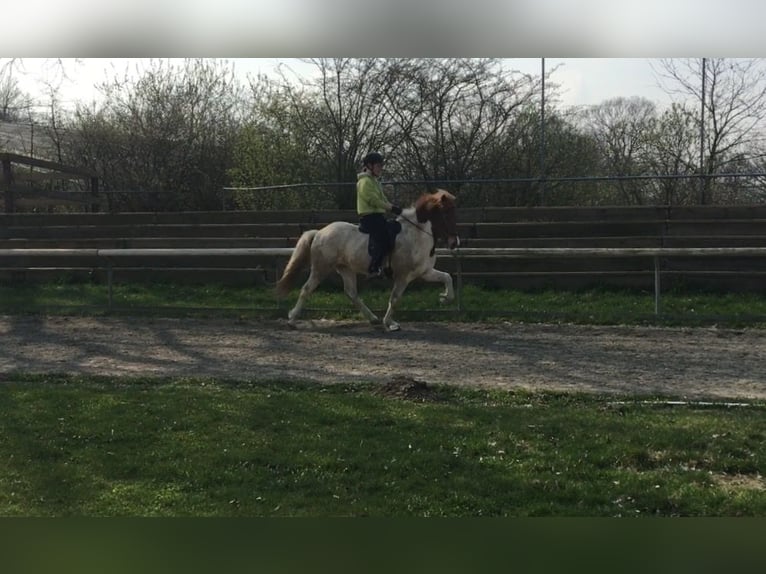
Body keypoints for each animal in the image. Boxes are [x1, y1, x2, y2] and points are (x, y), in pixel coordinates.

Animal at [278, 189, 462, 332]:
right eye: (446, 213)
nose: (455, 243)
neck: (417, 234)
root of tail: (320, 232)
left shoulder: (424, 272)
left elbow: (447, 277)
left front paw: (445, 298)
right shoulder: (403, 276)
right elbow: (395, 299)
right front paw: (390, 323)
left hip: (345, 268)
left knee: (351, 293)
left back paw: (373, 318)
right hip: (321, 268)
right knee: (306, 289)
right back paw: (292, 320)